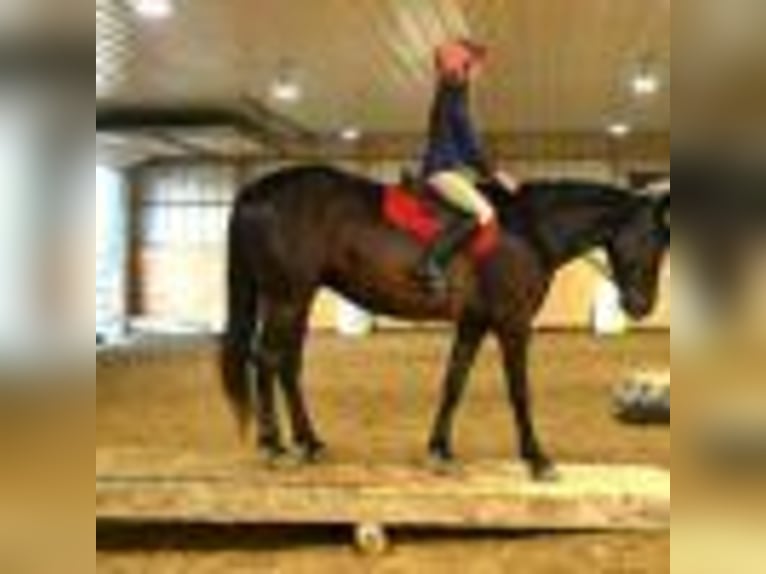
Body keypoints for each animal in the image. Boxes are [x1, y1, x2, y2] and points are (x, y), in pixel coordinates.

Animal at [220, 165, 670, 481]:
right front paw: (538, 460)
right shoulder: (513, 323)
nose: (641, 306)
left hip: (296, 297)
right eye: (654, 241)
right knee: (267, 359)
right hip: (287, 296)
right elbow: (519, 392)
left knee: (287, 365)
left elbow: (454, 383)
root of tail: (255, 192)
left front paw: (440, 451)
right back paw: (274, 447)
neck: (529, 229)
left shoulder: (473, 322)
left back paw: (309, 443)